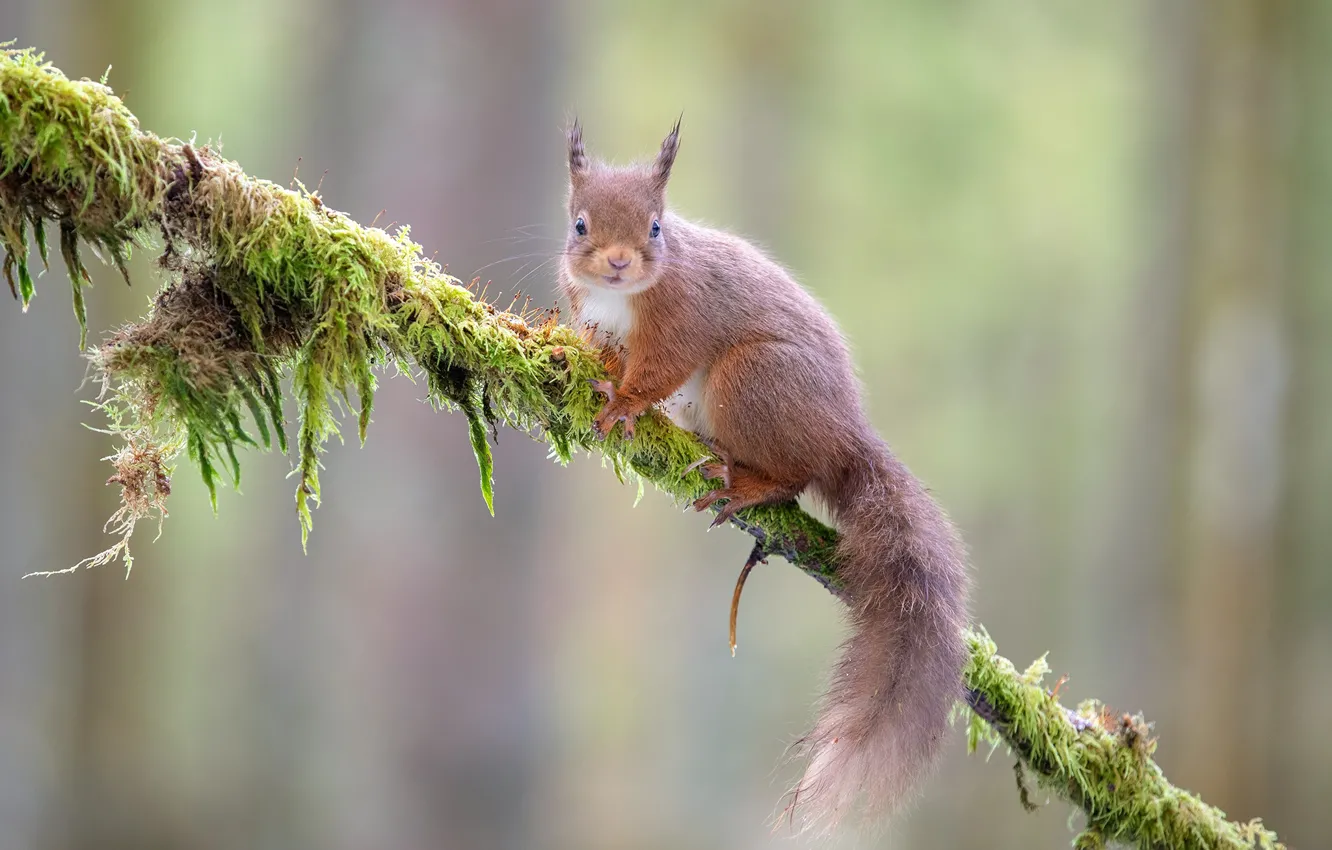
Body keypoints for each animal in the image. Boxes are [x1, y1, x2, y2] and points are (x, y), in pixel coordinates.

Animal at [557, 119, 971, 830]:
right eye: (579, 224)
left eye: (657, 227)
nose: (618, 262)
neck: (621, 297)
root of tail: (844, 435)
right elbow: (601, 352)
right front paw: (589, 368)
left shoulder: (683, 317)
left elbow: (659, 368)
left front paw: (625, 404)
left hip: (750, 381)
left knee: (797, 476)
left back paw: (748, 482)